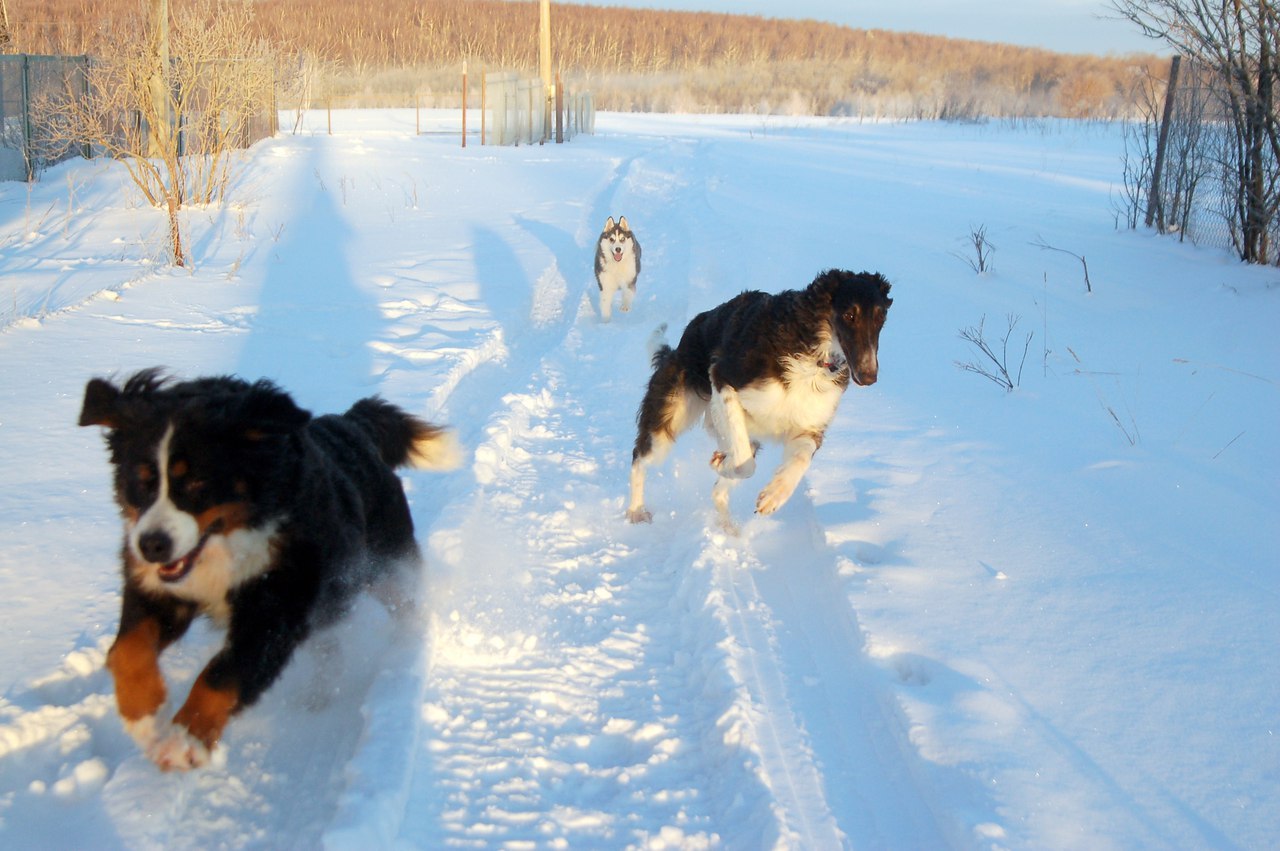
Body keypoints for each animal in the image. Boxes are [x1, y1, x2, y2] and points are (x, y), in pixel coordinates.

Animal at [80, 368, 463, 767]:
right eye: (141, 481)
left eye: (197, 481)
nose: (152, 545)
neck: (229, 541)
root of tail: (352, 424)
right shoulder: (160, 591)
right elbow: (127, 651)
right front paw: (146, 718)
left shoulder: (276, 603)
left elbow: (224, 674)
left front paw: (185, 739)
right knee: (328, 649)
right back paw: (318, 697)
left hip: (384, 564)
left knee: (405, 603)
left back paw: (407, 650)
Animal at [627, 268, 890, 527]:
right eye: (849, 315)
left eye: (880, 317)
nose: (869, 376)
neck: (814, 356)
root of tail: (680, 345)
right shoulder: (723, 378)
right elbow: (745, 464)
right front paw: (725, 465)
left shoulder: (809, 425)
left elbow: (799, 460)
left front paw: (773, 495)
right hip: (670, 419)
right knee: (639, 458)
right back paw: (636, 511)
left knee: (718, 491)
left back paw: (730, 529)